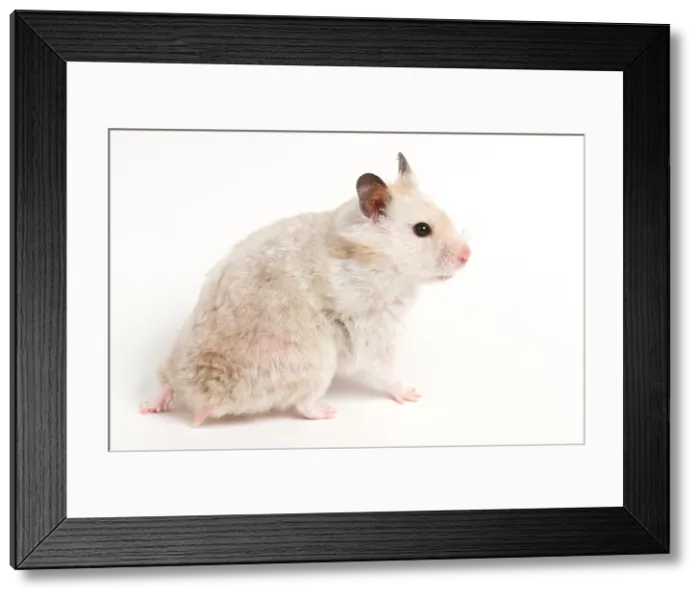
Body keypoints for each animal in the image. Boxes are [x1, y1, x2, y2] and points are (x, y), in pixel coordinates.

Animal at [140, 152, 472, 426]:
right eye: (422, 229)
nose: (468, 255)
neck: (377, 258)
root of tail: (200, 401)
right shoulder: (375, 326)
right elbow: (387, 369)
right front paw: (412, 393)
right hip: (318, 363)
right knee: (303, 405)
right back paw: (328, 411)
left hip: (177, 350)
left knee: (165, 378)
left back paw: (151, 405)